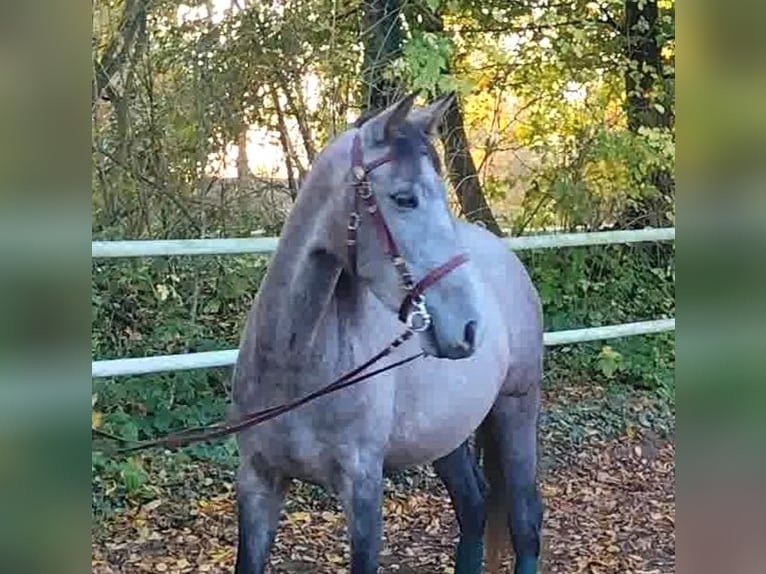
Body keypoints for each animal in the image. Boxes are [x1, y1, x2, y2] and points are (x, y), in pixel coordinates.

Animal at [231, 94, 544, 574]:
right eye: (404, 199)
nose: (469, 327)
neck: (295, 362)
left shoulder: (362, 490)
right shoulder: (258, 481)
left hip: (517, 410)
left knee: (526, 522)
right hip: (446, 434)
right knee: (473, 507)